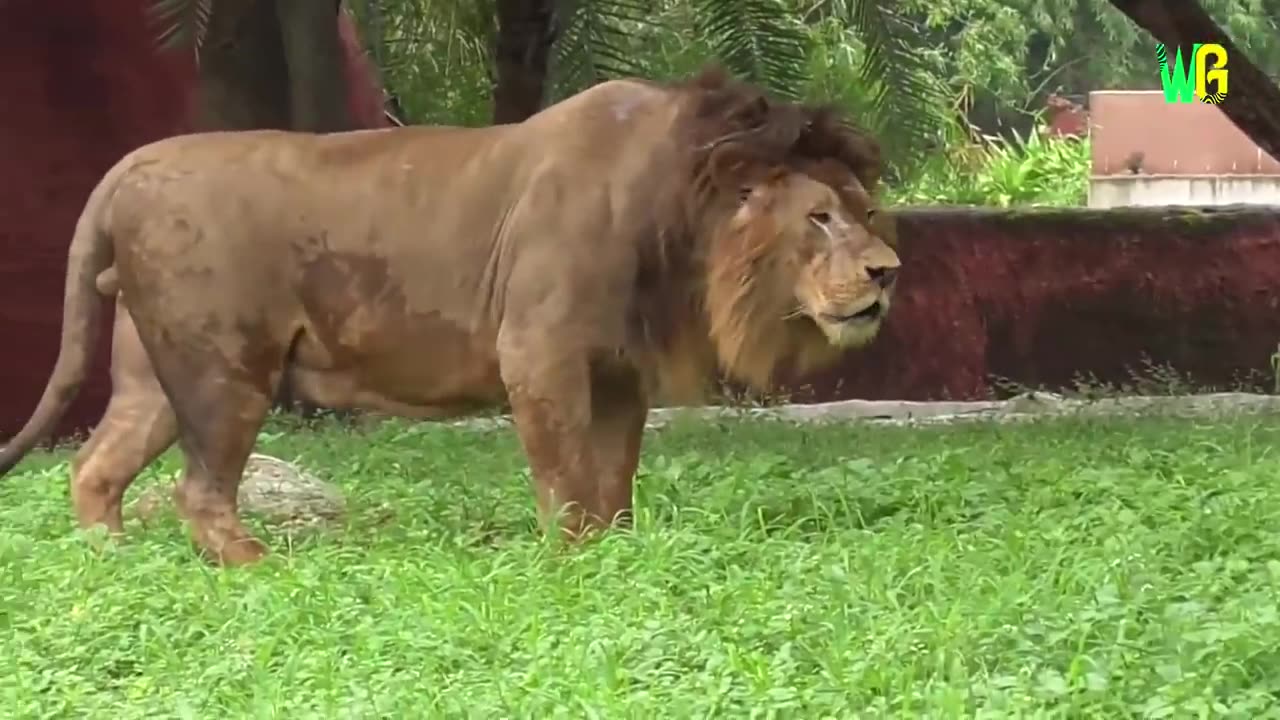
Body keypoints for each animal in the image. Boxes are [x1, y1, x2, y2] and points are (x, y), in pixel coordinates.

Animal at [0, 67, 901, 563]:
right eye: (819, 217)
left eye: (864, 210)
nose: (889, 272)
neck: (680, 220)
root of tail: (133, 163)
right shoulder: (538, 354)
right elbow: (564, 476)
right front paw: (570, 562)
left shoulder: (616, 373)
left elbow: (613, 477)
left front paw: (618, 552)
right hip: (225, 371)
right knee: (200, 491)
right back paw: (262, 568)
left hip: (154, 379)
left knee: (95, 470)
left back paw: (113, 561)